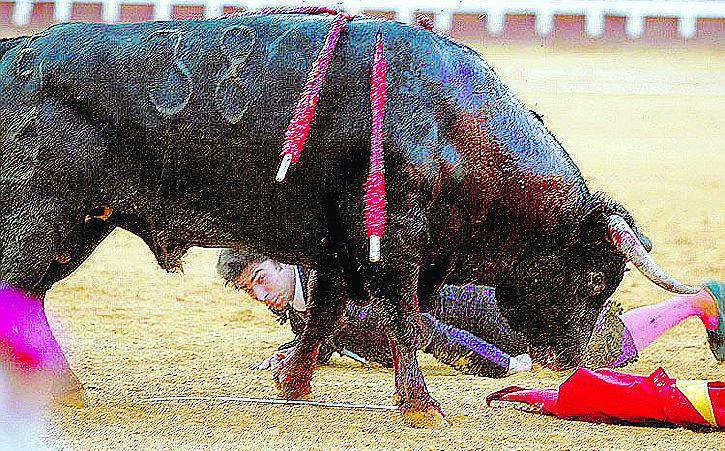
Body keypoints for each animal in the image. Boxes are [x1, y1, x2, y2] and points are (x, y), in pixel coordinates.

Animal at [0, 15, 692, 430]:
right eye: (596, 277)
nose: (587, 355)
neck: (457, 129)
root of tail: (18, 50)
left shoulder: (336, 251)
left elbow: (323, 318)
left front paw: (292, 386)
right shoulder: (399, 244)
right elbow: (407, 322)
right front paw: (423, 410)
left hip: (77, 226)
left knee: (28, 294)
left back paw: (63, 388)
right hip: (44, 216)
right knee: (19, 287)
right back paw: (59, 388)